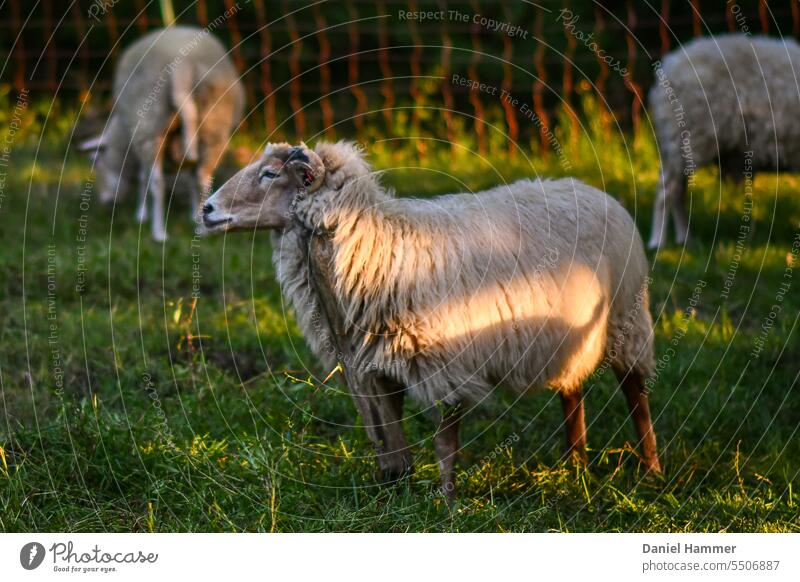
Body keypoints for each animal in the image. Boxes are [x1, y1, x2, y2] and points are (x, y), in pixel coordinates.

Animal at [80, 26, 247, 242]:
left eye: (97, 162)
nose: (106, 201)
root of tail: (183, 63)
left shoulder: (138, 137)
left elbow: (143, 177)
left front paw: (141, 215)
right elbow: (189, 176)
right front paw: (194, 215)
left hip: (151, 123)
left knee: (157, 183)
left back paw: (158, 233)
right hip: (214, 125)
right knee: (202, 177)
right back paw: (202, 229)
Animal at [202, 141, 664, 498]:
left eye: (268, 175)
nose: (206, 209)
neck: (373, 245)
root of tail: (591, 189)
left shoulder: (443, 362)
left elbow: (445, 441)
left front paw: (446, 502)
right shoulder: (369, 367)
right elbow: (389, 434)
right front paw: (394, 489)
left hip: (626, 318)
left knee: (635, 391)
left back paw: (651, 469)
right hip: (568, 336)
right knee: (572, 390)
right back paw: (575, 466)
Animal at [648, 33, 800, 249]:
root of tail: (671, 64)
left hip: (679, 142)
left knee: (678, 193)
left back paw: (685, 239)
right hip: (691, 136)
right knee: (666, 190)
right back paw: (658, 242)